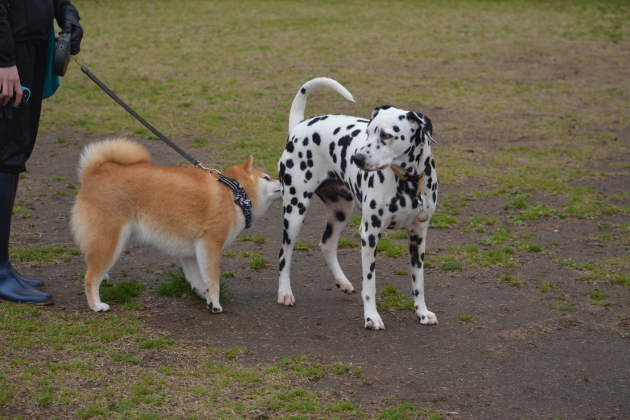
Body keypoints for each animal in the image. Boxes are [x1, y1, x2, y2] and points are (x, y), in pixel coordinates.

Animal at [70, 139, 280, 314]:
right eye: (267, 177)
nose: (281, 180)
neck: (235, 194)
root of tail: (93, 174)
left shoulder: (192, 251)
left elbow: (198, 279)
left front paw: (204, 296)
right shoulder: (210, 245)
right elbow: (213, 281)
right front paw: (215, 304)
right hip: (110, 241)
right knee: (90, 278)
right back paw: (96, 305)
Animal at [276, 77, 440, 330]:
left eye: (386, 135)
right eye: (368, 131)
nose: (357, 158)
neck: (409, 183)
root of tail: (299, 126)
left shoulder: (418, 237)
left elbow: (418, 282)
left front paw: (422, 313)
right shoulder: (370, 235)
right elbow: (370, 285)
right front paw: (371, 317)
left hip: (340, 211)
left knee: (327, 244)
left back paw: (342, 282)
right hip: (295, 210)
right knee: (284, 254)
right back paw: (285, 293)